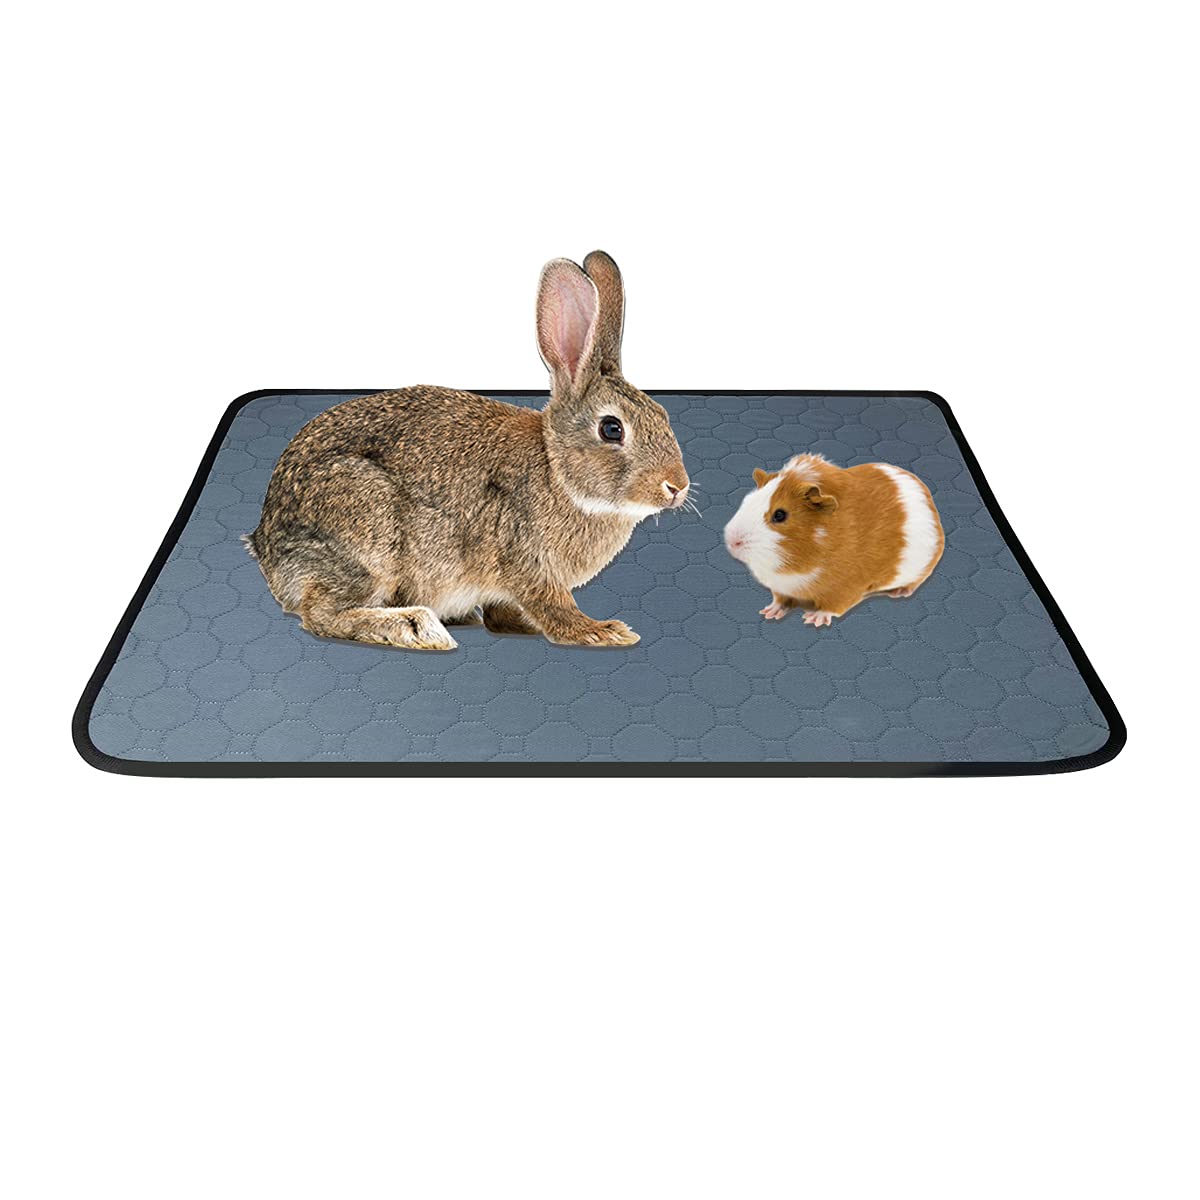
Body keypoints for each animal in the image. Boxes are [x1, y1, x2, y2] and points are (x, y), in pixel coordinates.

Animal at [245, 251, 691, 650]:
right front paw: (602, 631)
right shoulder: (526, 559)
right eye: (612, 429)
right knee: (323, 614)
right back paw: (415, 627)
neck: (557, 471)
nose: (677, 486)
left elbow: (506, 610)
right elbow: (552, 606)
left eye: (661, 414)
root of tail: (266, 546)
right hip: (367, 531)